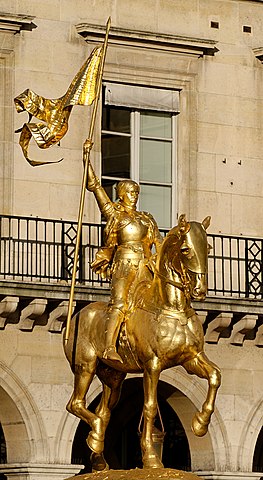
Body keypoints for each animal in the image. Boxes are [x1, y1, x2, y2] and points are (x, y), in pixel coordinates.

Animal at [64, 214, 223, 468]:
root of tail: (77, 314)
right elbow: (149, 407)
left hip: (113, 378)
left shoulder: (190, 358)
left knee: (103, 412)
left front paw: (200, 423)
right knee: (76, 404)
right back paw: (96, 437)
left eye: (207, 248)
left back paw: (98, 457)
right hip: (85, 366)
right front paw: (150, 457)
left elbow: (215, 376)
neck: (171, 307)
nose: (200, 290)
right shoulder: (152, 365)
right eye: (186, 250)